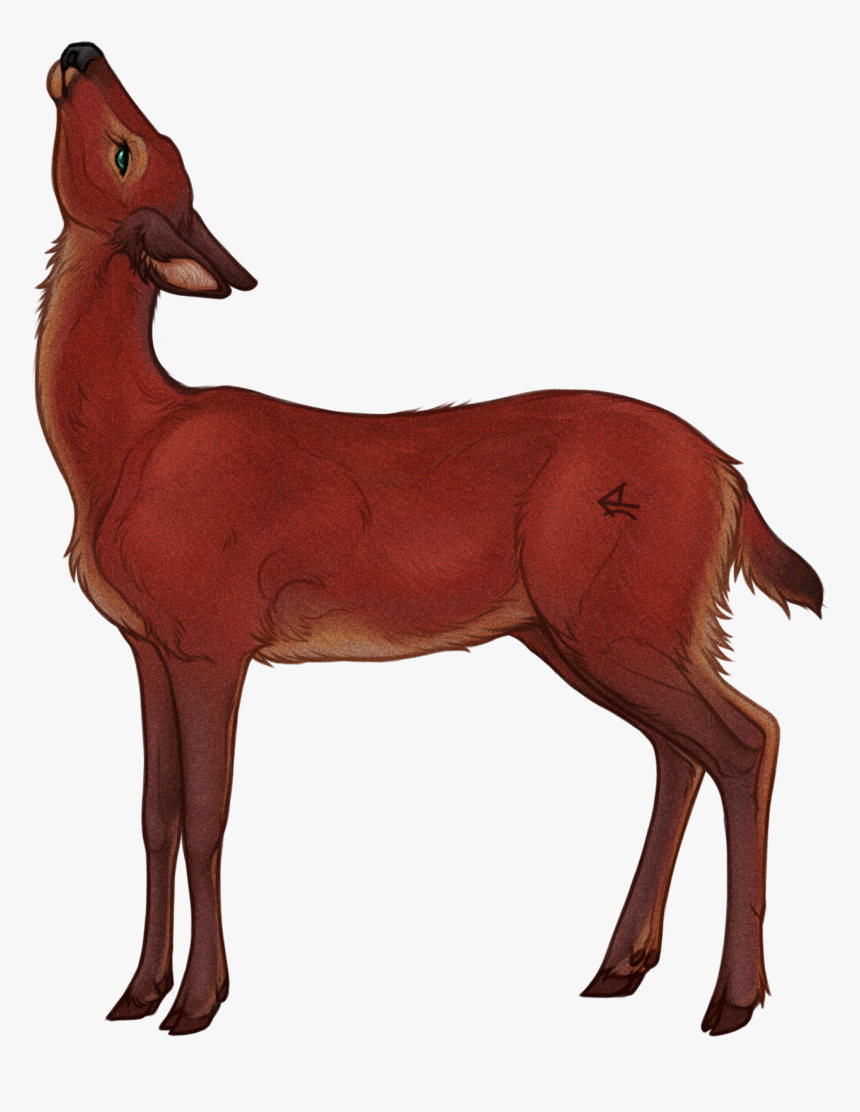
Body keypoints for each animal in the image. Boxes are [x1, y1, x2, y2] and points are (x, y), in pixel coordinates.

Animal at [37, 42, 822, 1037]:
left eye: (128, 147)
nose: (80, 51)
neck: (130, 445)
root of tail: (729, 477)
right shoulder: (147, 642)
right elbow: (154, 814)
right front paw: (137, 992)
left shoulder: (213, 634)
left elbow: (208, 815)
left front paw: (200, 1002)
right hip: (585, 627)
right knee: (683, 753)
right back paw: (621, 967)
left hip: (620, 617)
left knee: (747, 737)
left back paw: (731, 998)